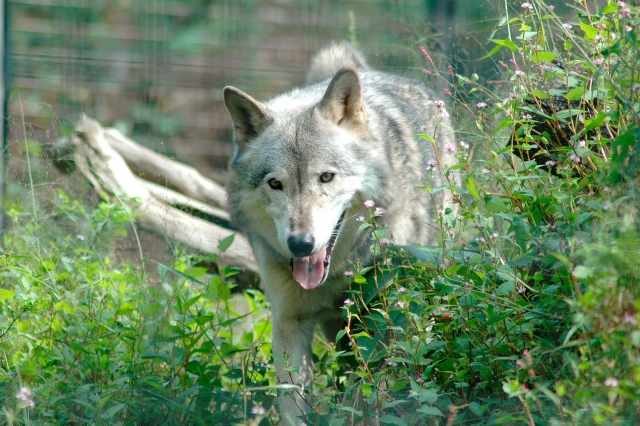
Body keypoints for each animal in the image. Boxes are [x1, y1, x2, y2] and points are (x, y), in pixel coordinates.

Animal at [222, 41, 458, 424]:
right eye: (275, 184)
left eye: (326, 177)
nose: (300, 245)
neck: (341, 268)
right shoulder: (289, 323)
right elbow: (294, 405)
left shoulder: (383, 322)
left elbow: (364, 399)